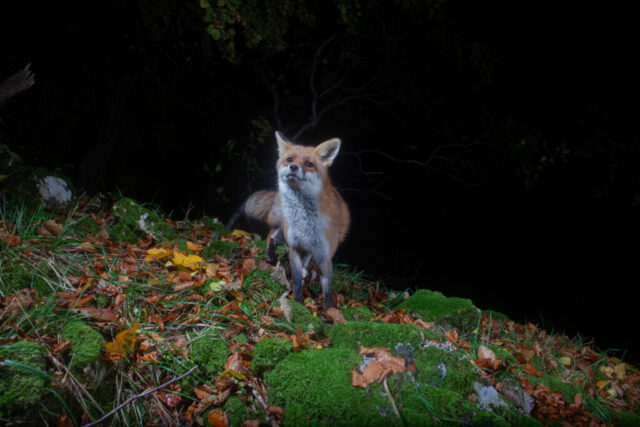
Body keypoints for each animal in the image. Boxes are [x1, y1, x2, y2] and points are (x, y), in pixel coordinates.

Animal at [234, 131, 350, 308]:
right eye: (289, 159)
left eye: (309, 163)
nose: (293, 167)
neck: (305, 222)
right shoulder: (294, 246)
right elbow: (295, 279)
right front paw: (298, 301)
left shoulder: (324, 255)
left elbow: (328, 289)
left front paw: (330, 310)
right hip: (284, 228)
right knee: (271, 235)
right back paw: (271, 254)